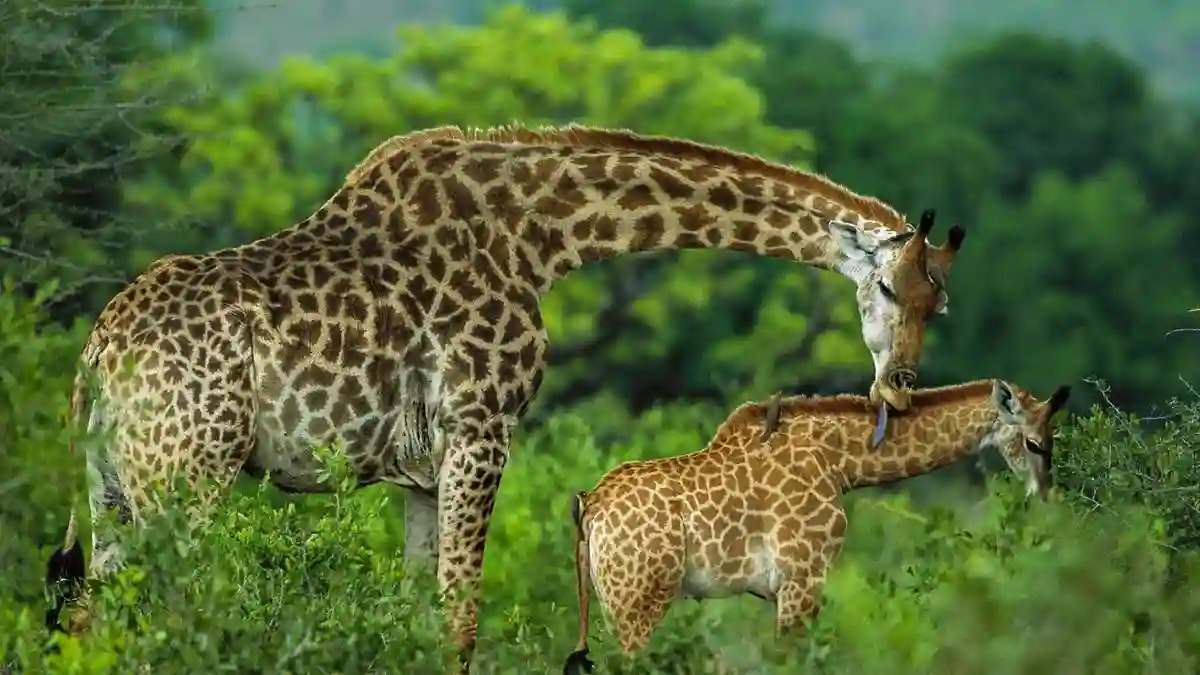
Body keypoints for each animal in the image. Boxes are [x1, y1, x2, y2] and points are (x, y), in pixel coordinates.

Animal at [43, 124, 968, 669]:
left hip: (114, 486)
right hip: (185, 479)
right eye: (888, 287)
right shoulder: (483, 429)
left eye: (941, 303)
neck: (543, 236)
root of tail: (97, 354)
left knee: (93, 615)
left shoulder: (421, 468)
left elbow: (421, 615)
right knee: (164, 615)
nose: (898, 387)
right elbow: (462, 620)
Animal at [561, 378, 1072, 673]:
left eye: (1052, 440)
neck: (840, 461)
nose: (1046, 498)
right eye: (1034, 443)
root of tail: (590, 506)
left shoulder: (780, 589)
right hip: (638, 600)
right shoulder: (802, 576)